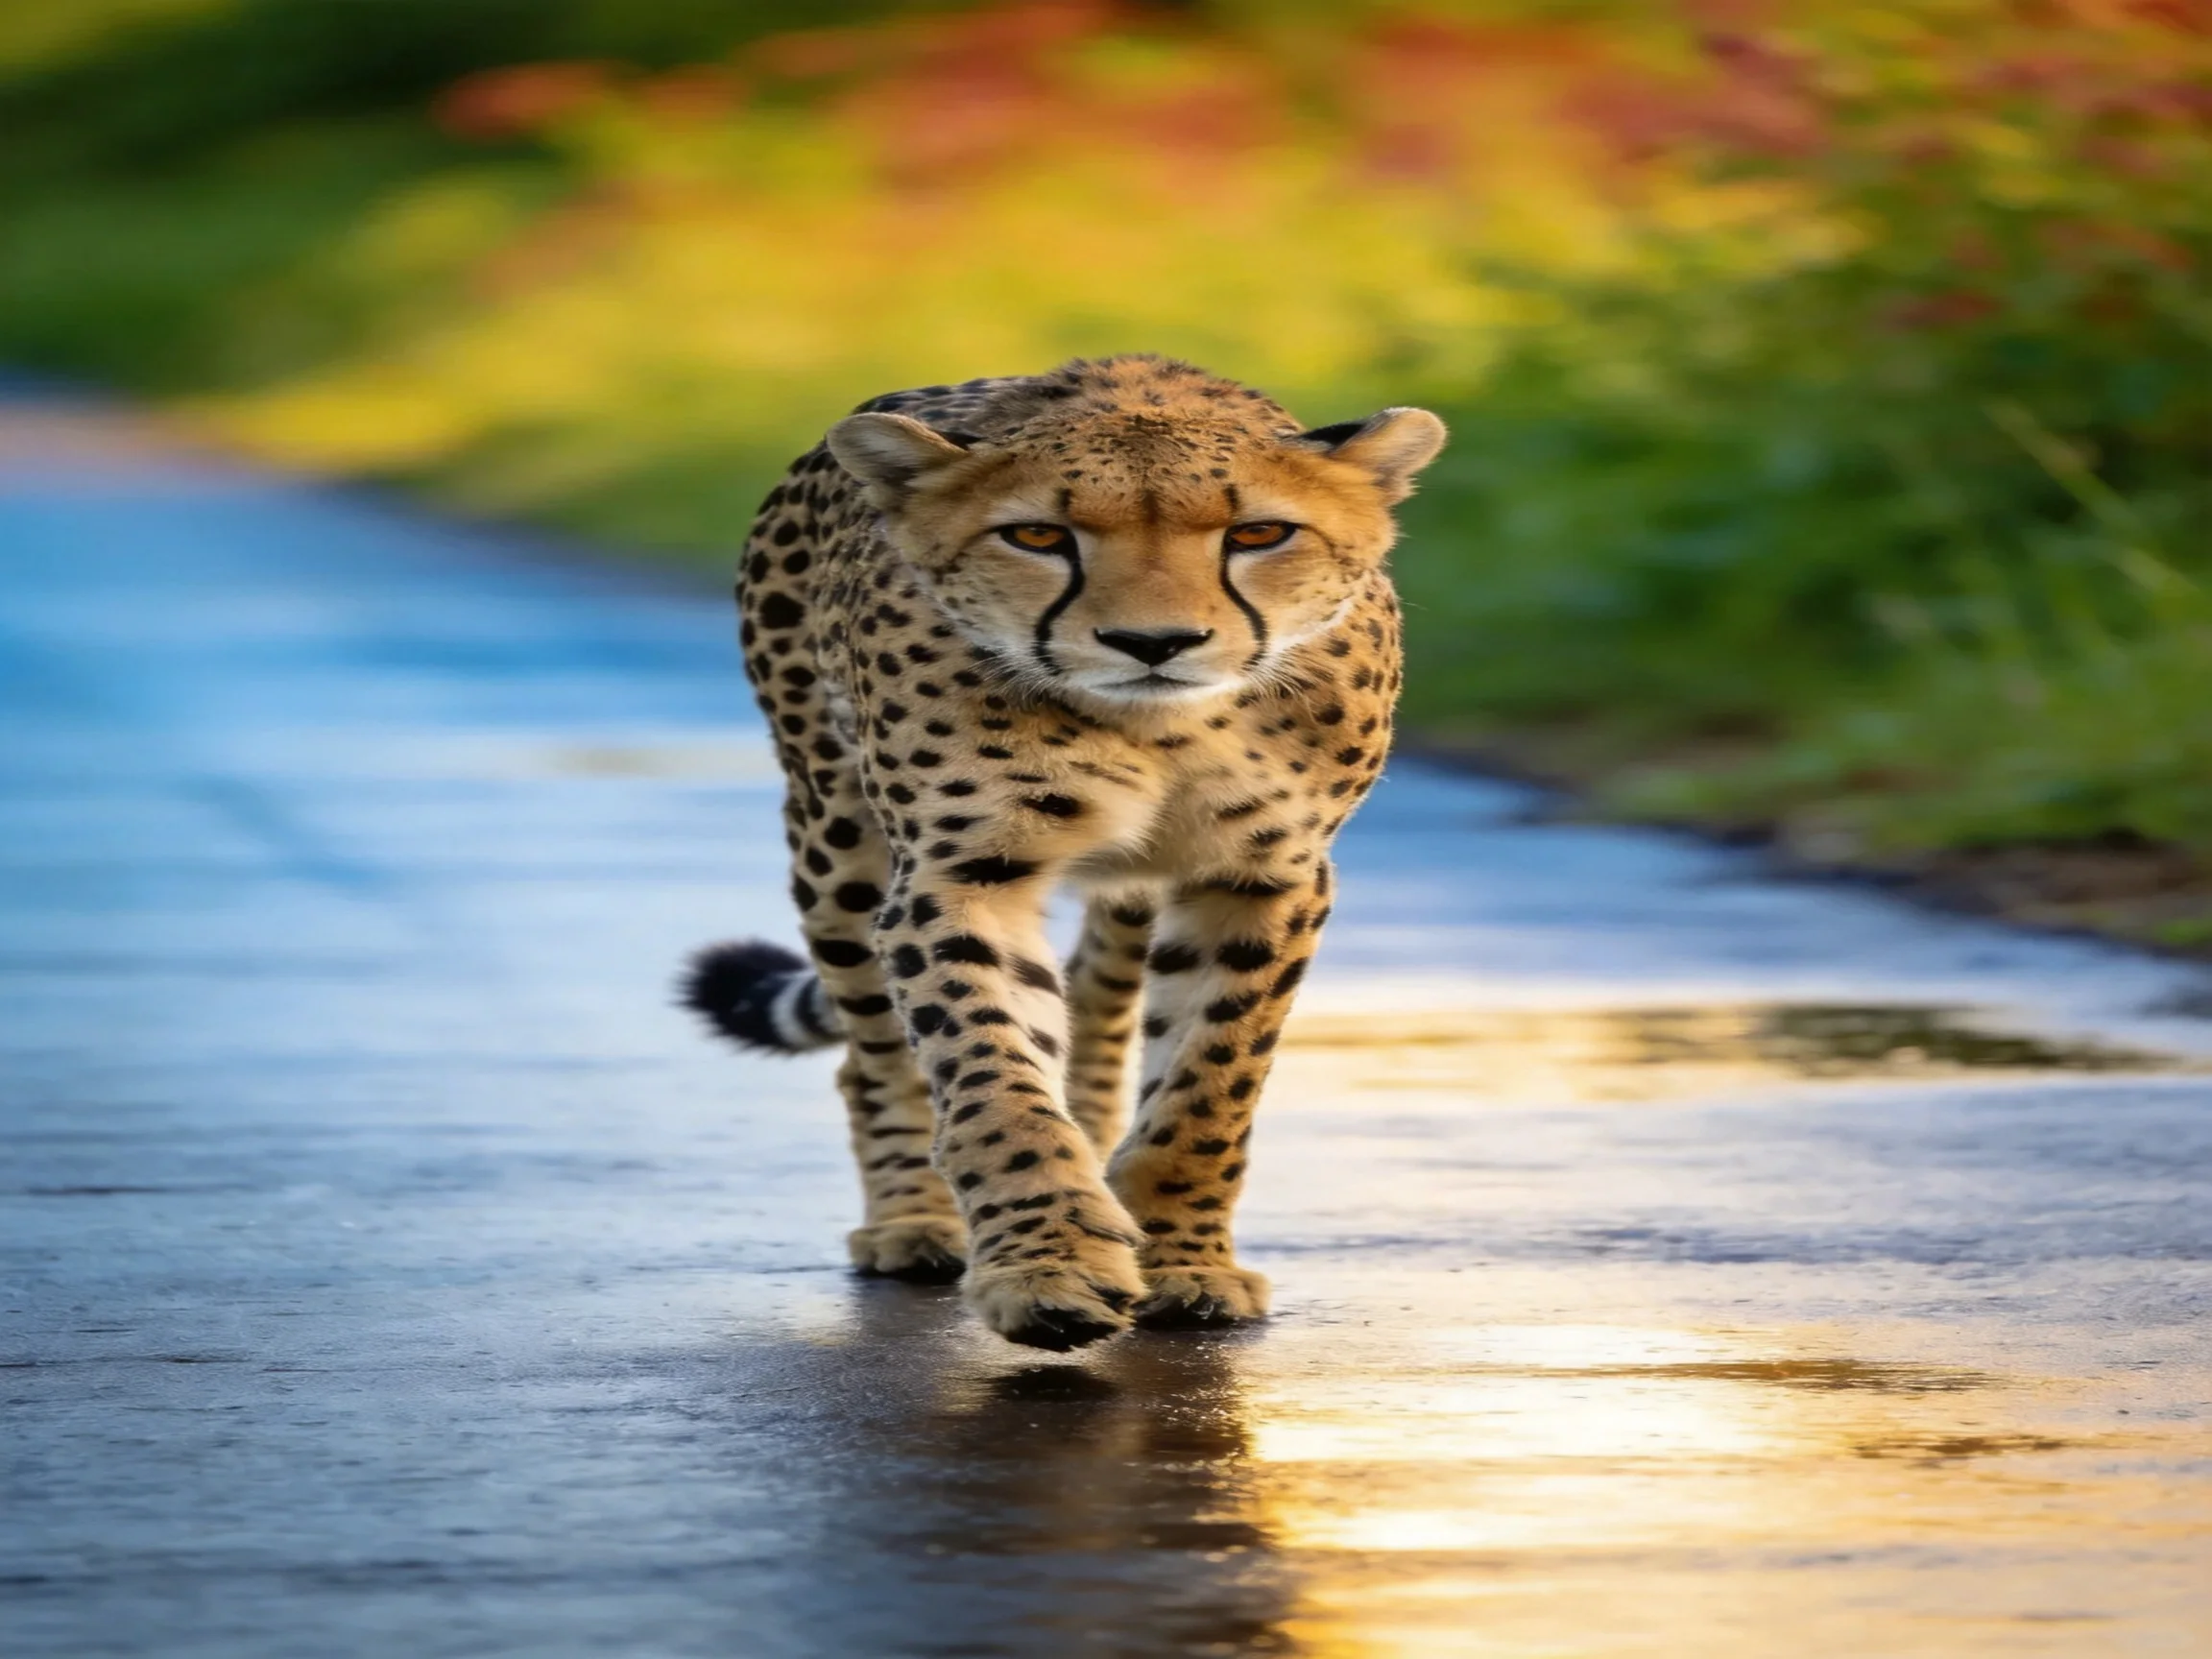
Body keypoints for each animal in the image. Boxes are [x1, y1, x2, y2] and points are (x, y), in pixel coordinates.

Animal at [683, 353, 1445, 1351]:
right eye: (1038, 535)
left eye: (1260, 532)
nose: (1154, 641)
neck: (1161, 729)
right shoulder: (962, 872)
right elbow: (995, 1077)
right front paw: (1051, 1266)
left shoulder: (1262, 874)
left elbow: (1210, 1082)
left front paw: (1183, 1259)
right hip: (835, 836)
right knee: (872, 1051)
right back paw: (911, 1221)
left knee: (1099, 995)